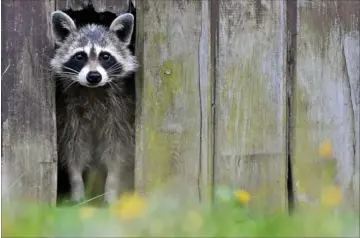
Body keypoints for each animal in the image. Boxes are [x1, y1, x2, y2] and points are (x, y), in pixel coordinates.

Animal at [49, 10, 136, 204]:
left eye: (105, 56)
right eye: (80, 56)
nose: (94, 76)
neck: (93, 90)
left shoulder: (120, 113)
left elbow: (117, 150)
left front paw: (112, 185)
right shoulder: (68, 114)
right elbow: (73, 149)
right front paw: (76, 184)